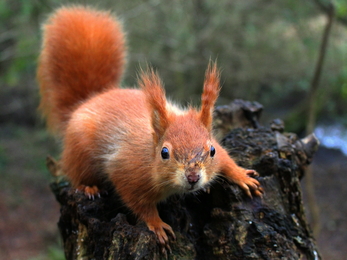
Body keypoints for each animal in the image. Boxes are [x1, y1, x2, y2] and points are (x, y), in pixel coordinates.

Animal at [36, 5, 262, 247]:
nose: (193, 178)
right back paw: (88, 187)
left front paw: (241, 175)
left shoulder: (218, 151)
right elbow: (139, 204)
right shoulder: (127, 171)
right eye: (164, 153)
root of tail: (89, 100)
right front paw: (157, 224)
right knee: (76, 173)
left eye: (211, 150)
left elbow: (226, 159)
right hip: (79, 153)